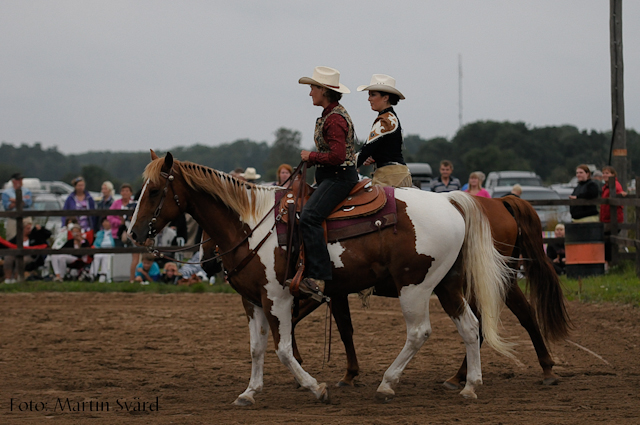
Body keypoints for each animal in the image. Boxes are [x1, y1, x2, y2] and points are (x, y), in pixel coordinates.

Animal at [130, 151, 516, 402]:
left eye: (154, 190)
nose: (133, 233)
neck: (253, 225)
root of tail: (450, 201)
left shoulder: (278, 297)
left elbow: (283, 348)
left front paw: (315, 387)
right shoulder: (252, 299)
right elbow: (256, 348)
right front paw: (250, 392)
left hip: (415, 287)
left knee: (419, 332)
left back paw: (388, 383)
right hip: (447, 284)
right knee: (470, 327)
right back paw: (469, 386)